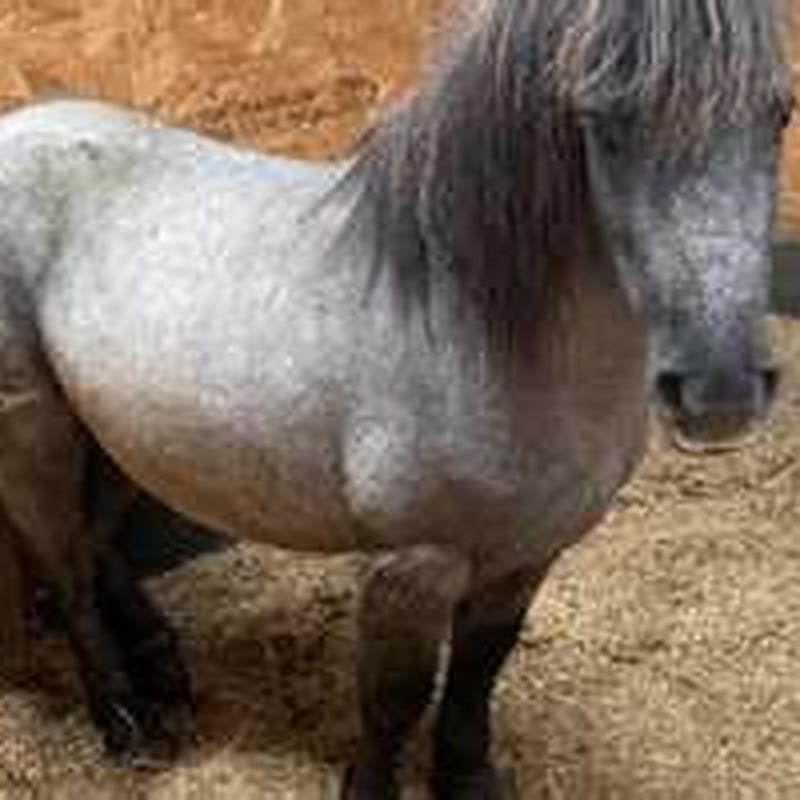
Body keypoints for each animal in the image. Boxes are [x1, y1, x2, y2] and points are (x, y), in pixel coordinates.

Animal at [0, 0, 791, 796]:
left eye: (779, 112)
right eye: (606, 120)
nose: (720, 391)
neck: (481, 328)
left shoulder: (527, 554)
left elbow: (478, 672)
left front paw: (468, 777)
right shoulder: (413, 564)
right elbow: (393, 699)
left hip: (120, 434)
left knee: (97, 541)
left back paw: (163, 668)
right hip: (37, 427)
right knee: (66, 567)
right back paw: (127, 723)